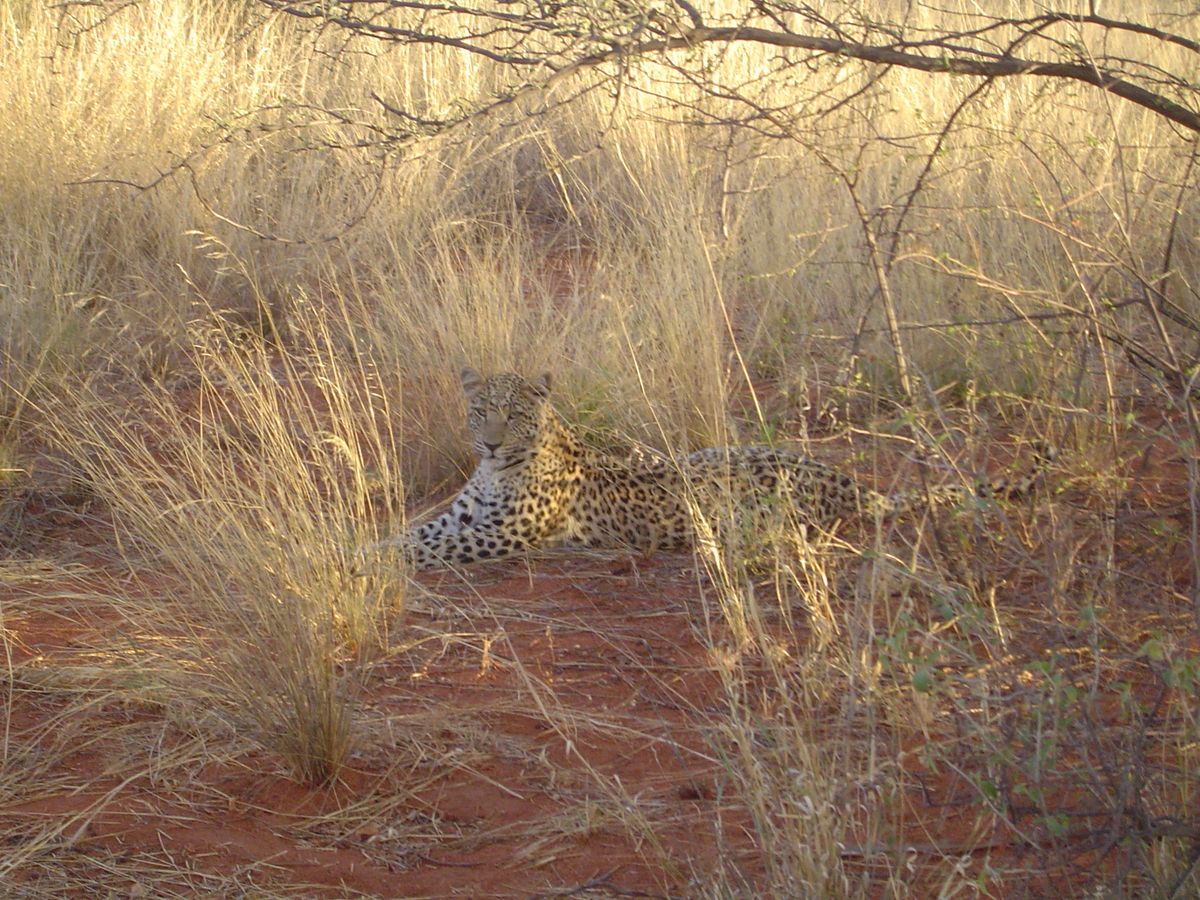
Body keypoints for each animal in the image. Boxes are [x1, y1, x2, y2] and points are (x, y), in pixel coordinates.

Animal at [387, 368, 1052, 570]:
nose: (491, 444)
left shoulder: (504, 534)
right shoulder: (463, 517)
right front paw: (365, 546)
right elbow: (413, 533)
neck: (500, 472)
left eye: (516, 414)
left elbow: (425, 549)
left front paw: (371, 561)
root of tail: (845, 480)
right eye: (480, 411)